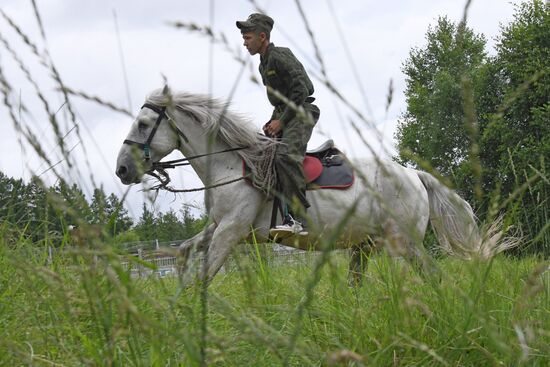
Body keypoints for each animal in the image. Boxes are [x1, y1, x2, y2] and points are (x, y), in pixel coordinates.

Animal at [118, 88, 498, 284]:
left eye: (143, 123)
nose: (122, 169)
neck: (232, 164)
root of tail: (414, 175)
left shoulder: (231, 230)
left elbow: (205, 276)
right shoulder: (221, 226)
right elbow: (184, 250)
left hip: (404, 242)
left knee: (432, 276)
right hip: (363, 245)